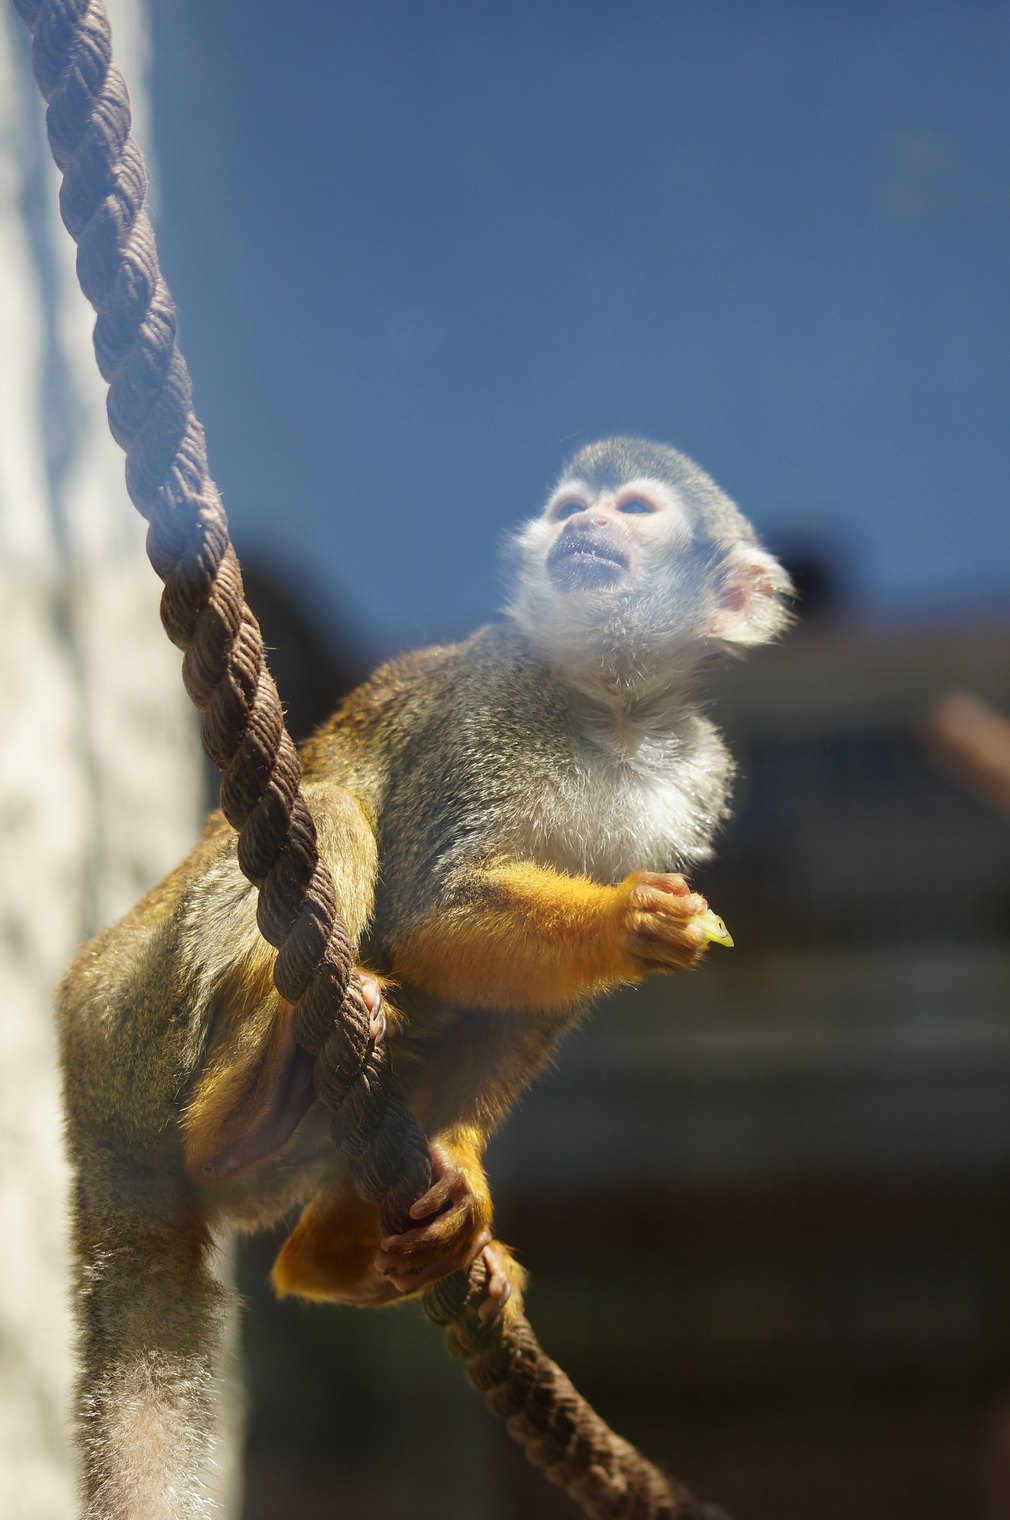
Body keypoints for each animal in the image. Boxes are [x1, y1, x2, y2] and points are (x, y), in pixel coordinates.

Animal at [61, 434, 790, 1513]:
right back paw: (247, 1114)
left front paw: (463, 1173)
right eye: (571, 506)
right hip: (137, 1024)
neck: (608, 707)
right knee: (332, 809)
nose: (583, 526)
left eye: (633, 508)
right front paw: (627, 919)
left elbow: (534, 999)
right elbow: (428, 904)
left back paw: (335, 1251)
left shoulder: (694, 775)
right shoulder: (492, 708)